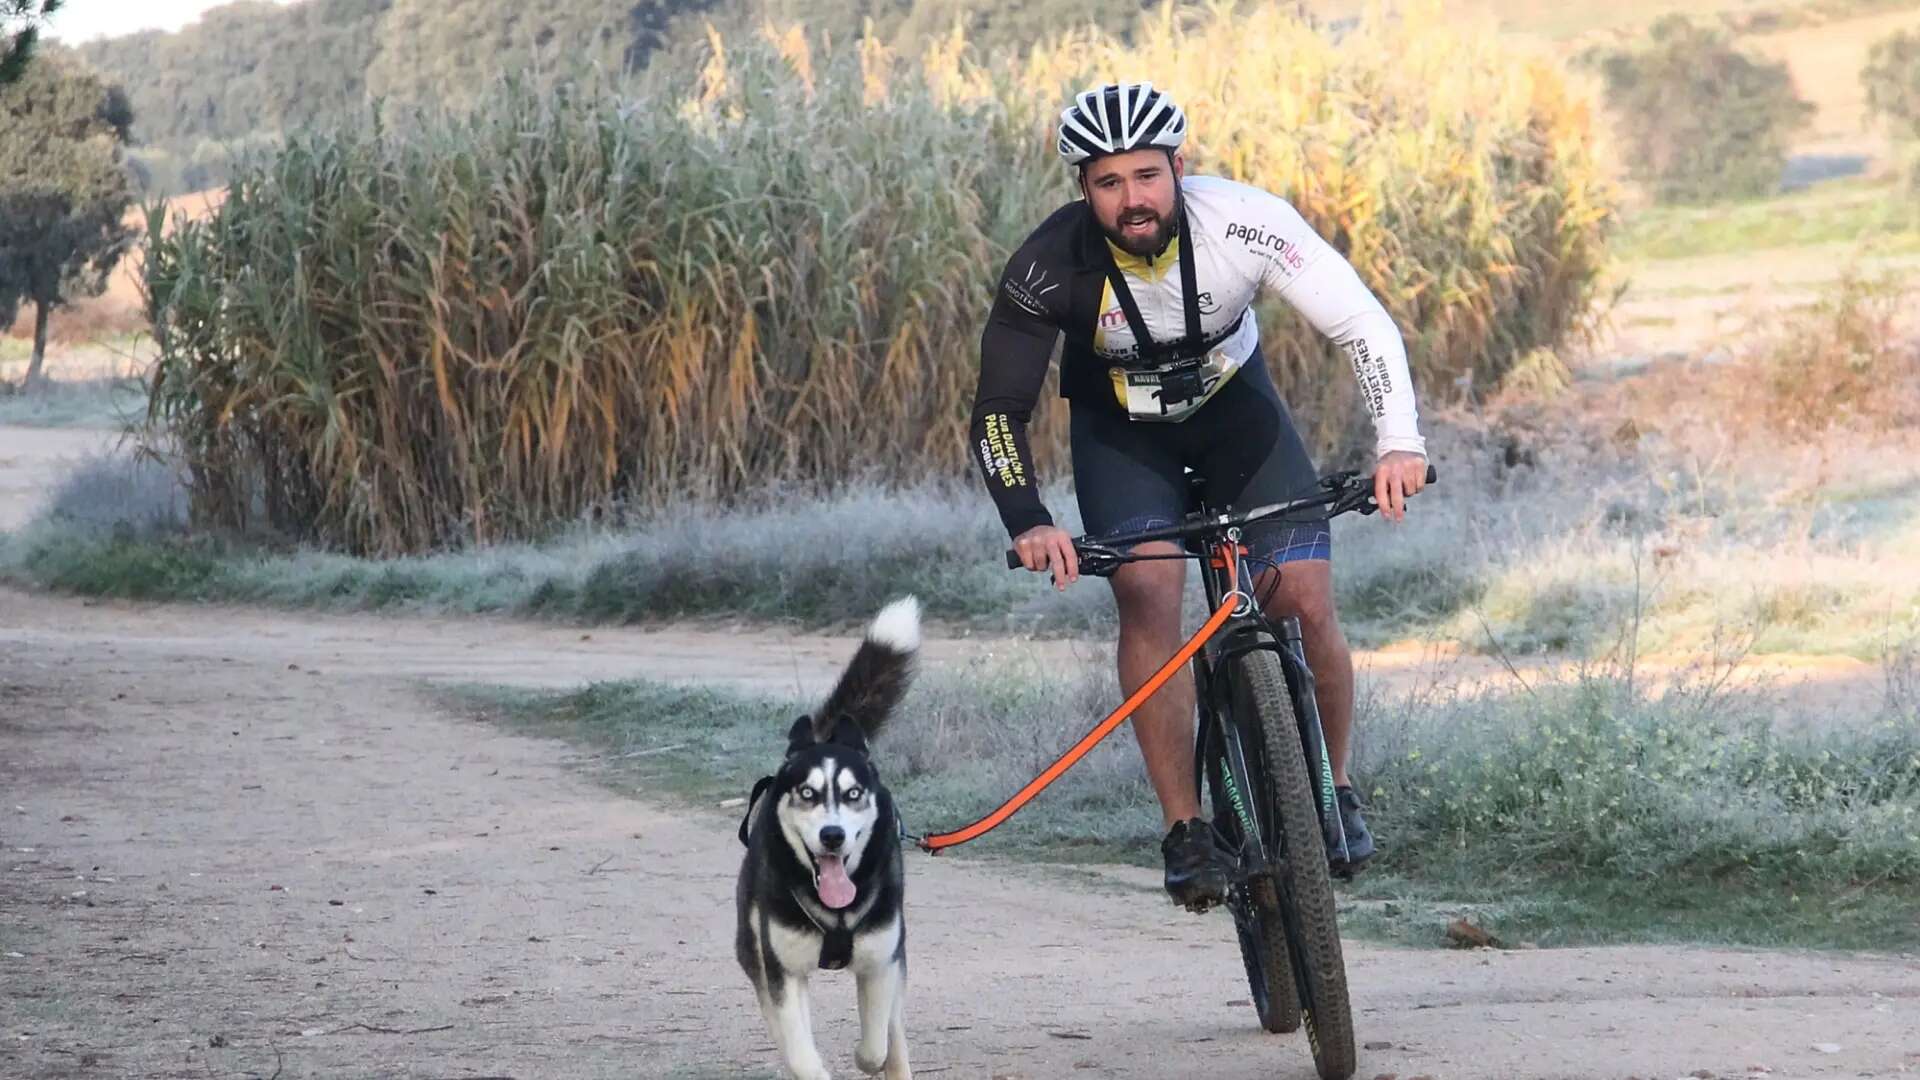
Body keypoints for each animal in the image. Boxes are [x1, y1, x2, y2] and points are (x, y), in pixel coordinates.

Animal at [729, 595, 917, 1076]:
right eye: (808, 793)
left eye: (853, 794)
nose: (832, 836)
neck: (836, 911)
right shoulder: (783, 972)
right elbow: (801, 1053)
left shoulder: (881, 961)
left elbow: (875, 1044)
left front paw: (869, 1057)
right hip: (751, 946)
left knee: (894, 1027)